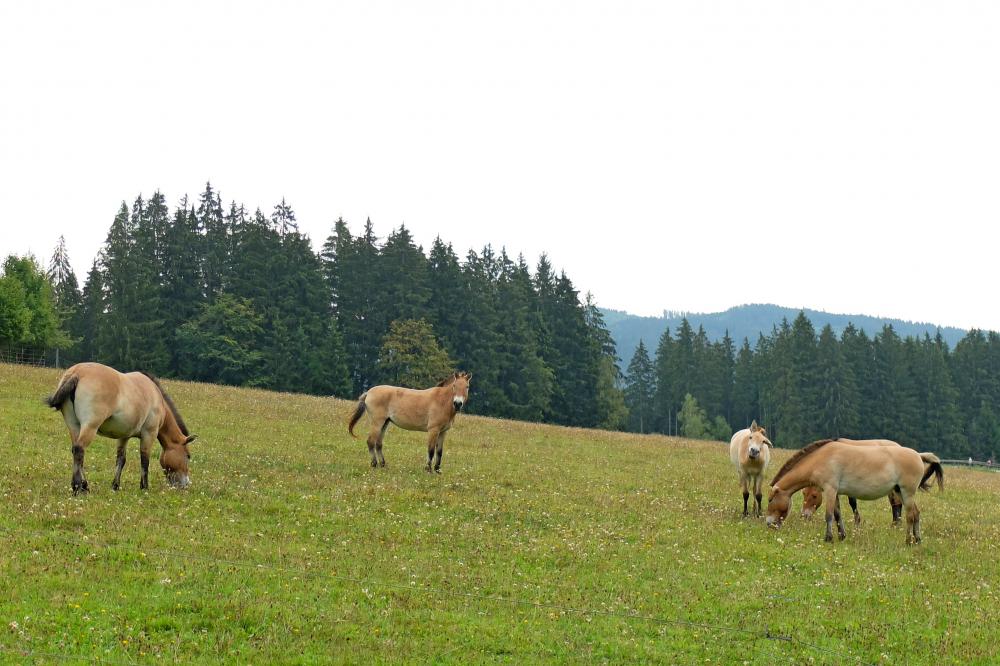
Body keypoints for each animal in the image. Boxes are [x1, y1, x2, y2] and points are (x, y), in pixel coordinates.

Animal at [45, 360, 197, 490]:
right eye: (188, 456)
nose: (185, 484)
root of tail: (77, 373)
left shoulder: (124, 436)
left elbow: (121, 459)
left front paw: (115, 486)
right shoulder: (149, 434)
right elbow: (145, 460)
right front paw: (144, 487)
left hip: (74, 426)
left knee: (76, 452)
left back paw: (84, 485)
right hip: (90, 426)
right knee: (79, 449)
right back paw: (78, 487)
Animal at [768, 438, 940, 544]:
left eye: (770, 500)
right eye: (804, 494)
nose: (769, 524)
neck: (823, 457)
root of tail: (918, 455)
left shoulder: (830, 490)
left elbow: (829, 515)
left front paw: (828, 538)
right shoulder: (835, 493)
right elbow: (837, 514)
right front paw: (841, 536)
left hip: (907, 493)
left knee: (910, 515)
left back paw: (908, 541)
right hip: (900, 492)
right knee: (916, 513)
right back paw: (917, 540)